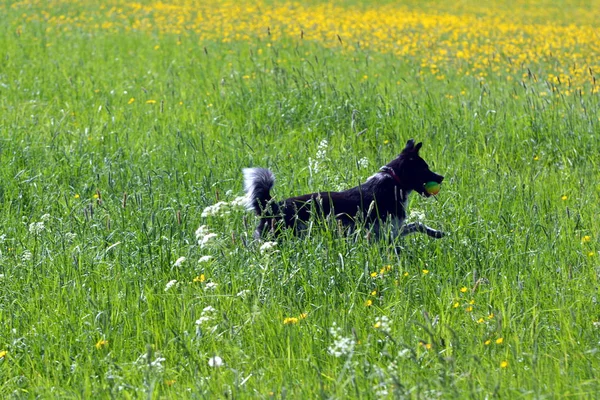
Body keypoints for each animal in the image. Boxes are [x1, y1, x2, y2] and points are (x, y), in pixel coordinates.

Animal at [244, 139, 446, 239]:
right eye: (425, 168)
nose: (441, 177)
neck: (392, 181)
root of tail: (271, 206)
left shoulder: (391, 232)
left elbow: (417, 225)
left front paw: (436, 233)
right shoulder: (386, 232)